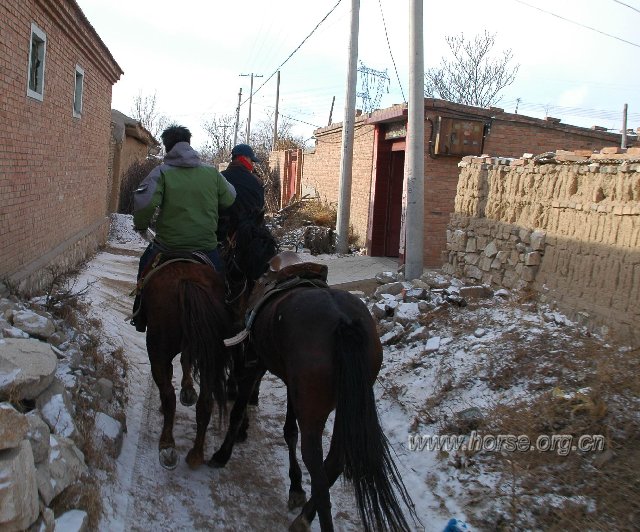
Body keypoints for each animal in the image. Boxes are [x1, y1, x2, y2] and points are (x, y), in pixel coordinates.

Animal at [139, 262, 231, 470]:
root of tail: (186, 281)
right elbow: (185, 360)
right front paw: (188, 390)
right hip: (208, 357)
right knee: (205, 402)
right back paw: (196, 454)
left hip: (157, 351)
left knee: (168, 396)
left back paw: (167, 446)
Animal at [212, 223, 418, 532]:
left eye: (229, 250)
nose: (228, 291)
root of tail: (343, 322)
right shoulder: (291, 383)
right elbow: (289, 431)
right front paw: (295, 486)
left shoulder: (256, 362)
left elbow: (239, 411)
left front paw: (223, 453)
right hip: (345, 403)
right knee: (335, 460)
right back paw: (304, 515)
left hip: (314, 409)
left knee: (318, 466)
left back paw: (307, 519)